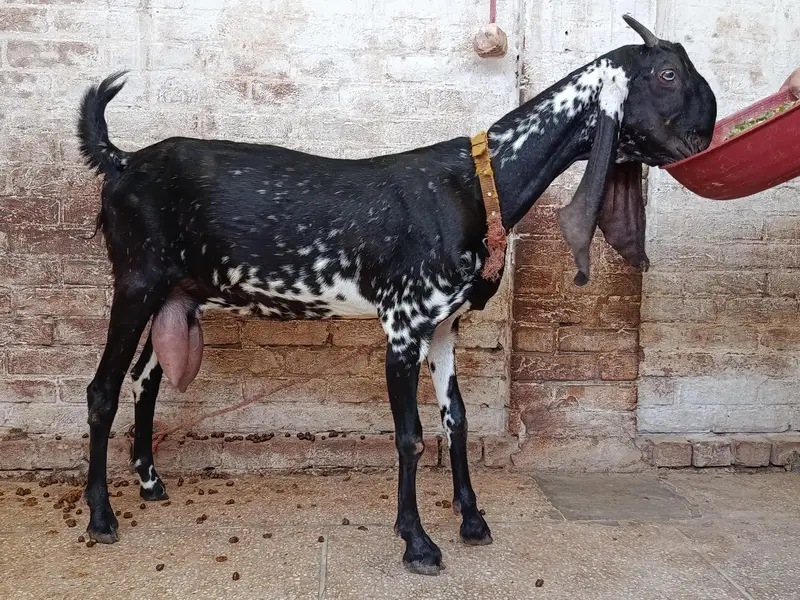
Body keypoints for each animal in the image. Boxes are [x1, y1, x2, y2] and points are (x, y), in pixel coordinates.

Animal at [76, 15, 716, 574]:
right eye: (666, 74)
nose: (705, 134)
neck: (475, 184)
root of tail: (122, 161)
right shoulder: (403, 324)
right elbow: (410, 437)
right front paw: (418, 543)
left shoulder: (444, 325)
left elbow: (457, 420)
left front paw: (472, 519)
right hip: (135, 282)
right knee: (103, 390)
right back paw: (102, 517)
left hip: (176, 298)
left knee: (145, 379)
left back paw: (151, 483)